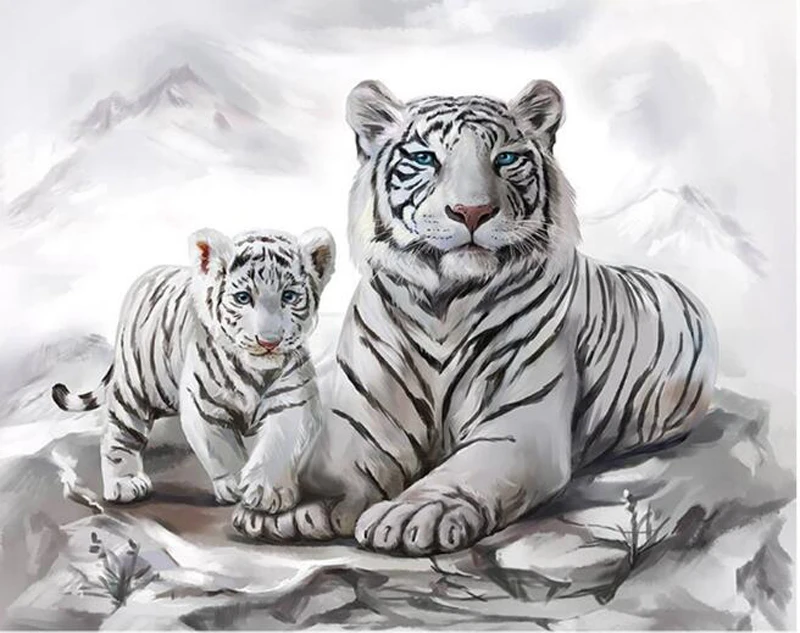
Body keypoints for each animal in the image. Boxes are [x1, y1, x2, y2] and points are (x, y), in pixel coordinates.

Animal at [52, 226, 335, 514]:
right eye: (243, 298)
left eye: (289, 296)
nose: (269, 342)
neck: (256, 372)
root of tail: (146, 278)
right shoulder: (204, 405)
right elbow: (222, 449)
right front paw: (234, 485)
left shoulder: (294, 401)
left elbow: (279, 444)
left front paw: (268, 492)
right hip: (134, 387)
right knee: (118, 431)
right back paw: (125, 483)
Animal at [231, 79, 718, 557]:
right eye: (425, 158)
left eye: (505, 158)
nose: (472, 212)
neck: (443, 304)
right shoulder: (363, 416)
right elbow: (335, 463)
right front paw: (292, 504)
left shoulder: (518, 424)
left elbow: (462, 473)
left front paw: (411, 514)